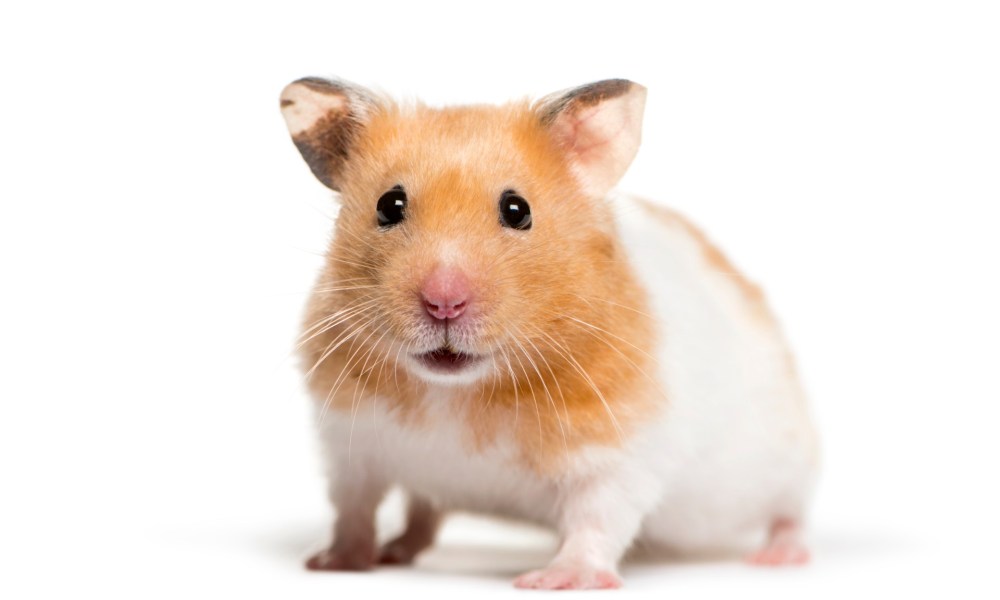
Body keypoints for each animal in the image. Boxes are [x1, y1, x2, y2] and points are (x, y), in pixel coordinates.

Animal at [280, 76, 820, 592]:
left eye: (517, 210)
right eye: (389, 205)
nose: (443, 302)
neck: (454, 394)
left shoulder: (619, 452)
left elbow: (597, 518)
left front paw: (554, 580)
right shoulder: (348, 445)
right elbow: (353, 508)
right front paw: (332, 564)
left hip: (786, 459)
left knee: (791, 509)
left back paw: (781, 556)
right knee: (423, 512)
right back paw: (396, 550)